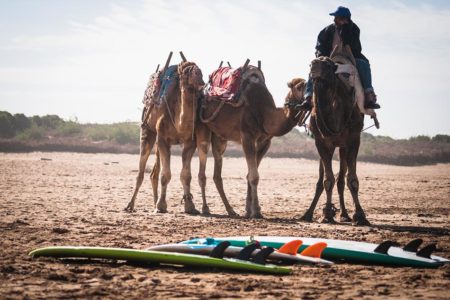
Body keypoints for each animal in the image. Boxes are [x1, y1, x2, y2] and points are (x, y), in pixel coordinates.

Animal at [123, 52, 204, 214]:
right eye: (185, 71)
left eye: (199, 69)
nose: (199, 74)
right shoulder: (162, 139)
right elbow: (165, 175)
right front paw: (161, 206)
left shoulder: (190, 142)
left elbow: (186, 175)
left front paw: (190, 206)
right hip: (147, 130)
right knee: (141, 171)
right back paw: (131, 205)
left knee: (154, 173)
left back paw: (153, 202)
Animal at [196, 63, 306, 218]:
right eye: (299, 87)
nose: (309, 100)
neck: (265, 113)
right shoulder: (247, 136)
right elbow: (254, 176)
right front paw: (257, 211)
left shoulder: (265, 141)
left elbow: (250, 175)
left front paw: (249, 210)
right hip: (203, 127)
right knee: (202, 164)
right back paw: (205, 208)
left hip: (219, 137)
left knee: (217, 170)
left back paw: (230, 210)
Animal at [298, 55, 370, 225]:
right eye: (312, 63)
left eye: (329, 64)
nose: (314, 66)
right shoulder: (322, 142)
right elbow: (327, 180)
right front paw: (327, 215)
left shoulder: (353, 140)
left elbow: (352, 180)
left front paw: (360, 216)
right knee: (322, 180)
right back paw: (309, 213)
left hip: (343, 147)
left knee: (341, 179)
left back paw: (344, 214)